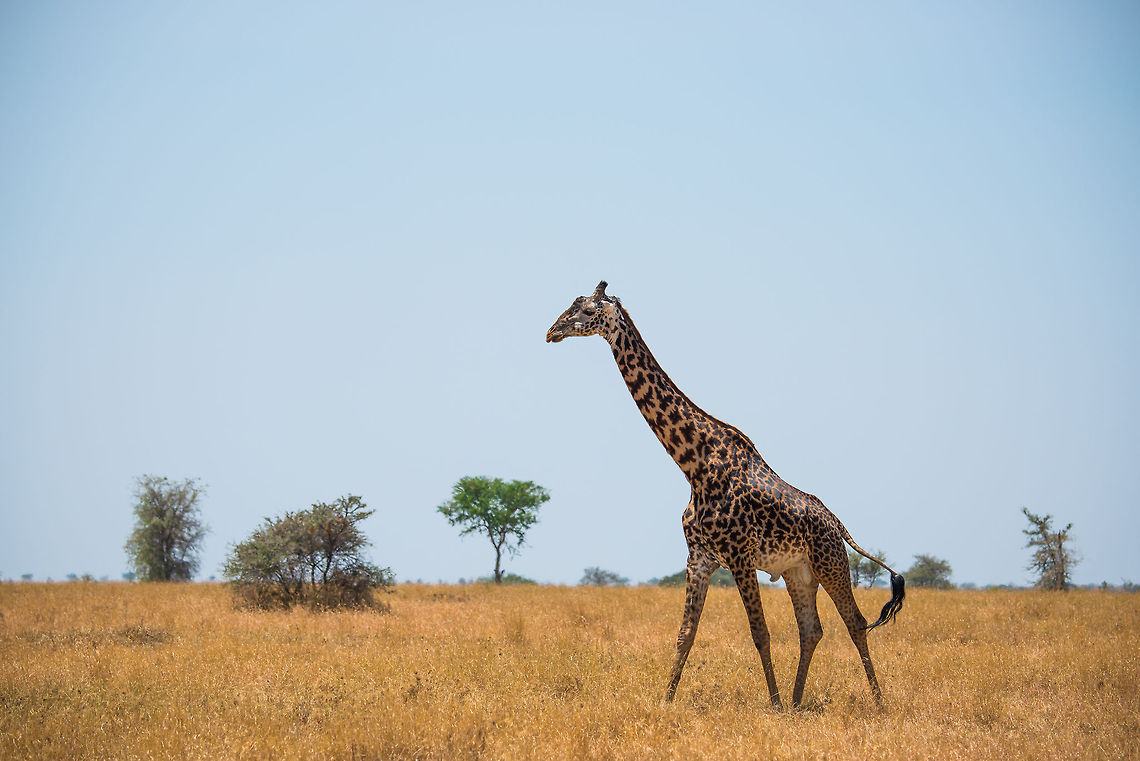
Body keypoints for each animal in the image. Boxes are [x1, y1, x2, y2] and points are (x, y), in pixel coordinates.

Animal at [546, 281, 905, 709]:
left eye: (586, 310)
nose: (551, 331)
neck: (693, 465)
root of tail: (839, 524)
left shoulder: (739, 557)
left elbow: (760, 633)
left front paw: (773, 705)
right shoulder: (699, 558)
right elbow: (685, 635)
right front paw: (665, 701)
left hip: (830, 562)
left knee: (855, 622)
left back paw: (875, 702)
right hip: (798, 572)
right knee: (812, 629)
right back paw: (798, 701)